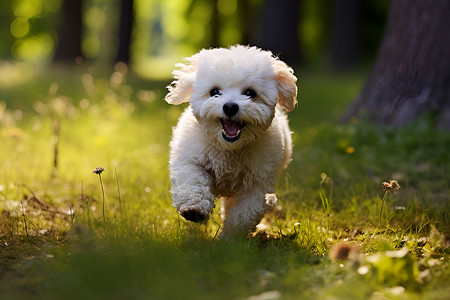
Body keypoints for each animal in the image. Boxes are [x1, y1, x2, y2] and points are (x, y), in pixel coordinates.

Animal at [165, 44, 298, 238]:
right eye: (214, 92)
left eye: (250, 93)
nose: (230, 106)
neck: (228, 148)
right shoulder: (190, 159)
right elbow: (193, 180)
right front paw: (194, 209)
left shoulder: (258, 184)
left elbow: (244, 214)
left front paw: (229, 239)